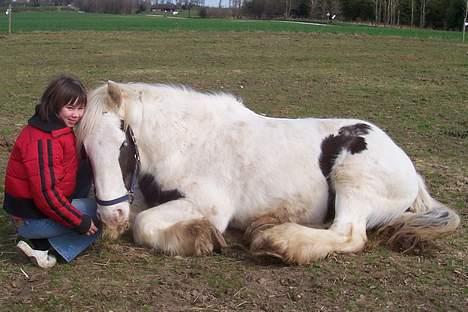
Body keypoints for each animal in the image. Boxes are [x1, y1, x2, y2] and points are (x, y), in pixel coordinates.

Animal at [75, 81, 458, 264]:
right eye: (86, 152)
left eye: (121, 146)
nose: (111, 216)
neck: (187, 142)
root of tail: (409, 169)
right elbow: (140, 215)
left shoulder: (211, 205)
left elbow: (144, 224)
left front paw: (198, 237)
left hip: (352, 178)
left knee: (349, 234)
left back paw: (278, 241)